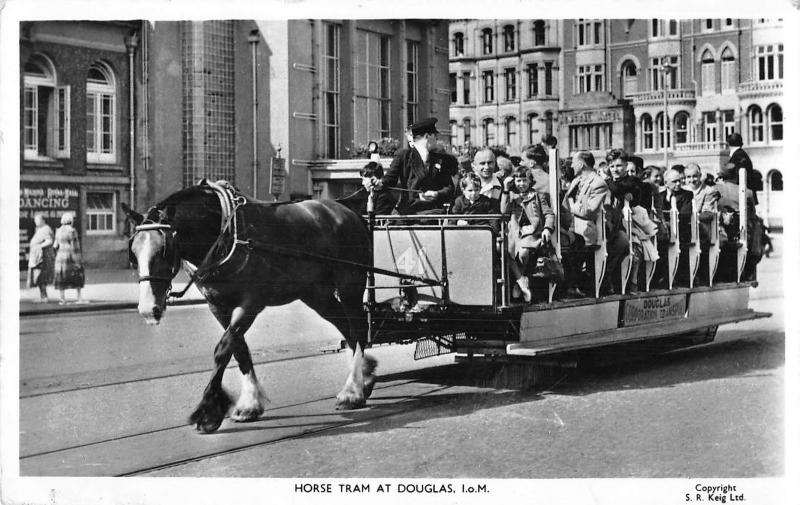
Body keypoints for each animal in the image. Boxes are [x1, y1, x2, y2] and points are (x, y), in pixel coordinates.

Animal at [122, 179, 378, 432]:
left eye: (164, 250)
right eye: (133, 252)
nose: (148, 309)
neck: (226, 233)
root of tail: (349, 213)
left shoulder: (251, 303)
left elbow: (223, 348)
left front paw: (208, 410)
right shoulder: (218, 306)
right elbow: (239, 350)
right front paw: (249, 405)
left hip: (349, 286)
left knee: (357, 329)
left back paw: (353, 391)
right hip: (316, 295)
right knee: (346, 328)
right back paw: (364, 378)